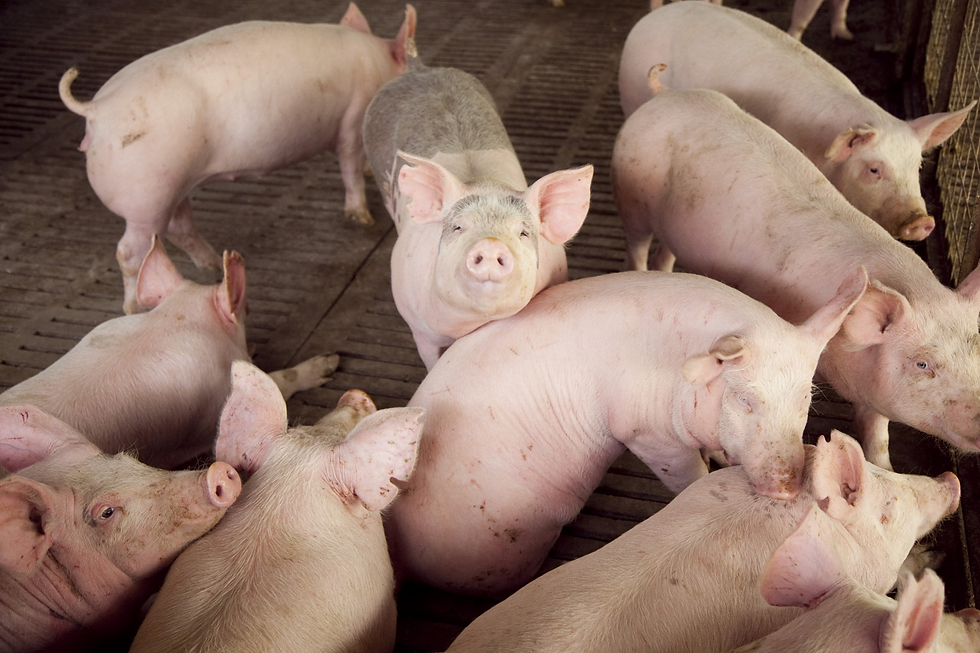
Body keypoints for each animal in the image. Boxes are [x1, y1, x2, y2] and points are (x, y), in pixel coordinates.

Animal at [0, 235, 336, 470]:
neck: (171, 321)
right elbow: (278, 380)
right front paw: (329, 363)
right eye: (248, 309)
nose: (333, 358)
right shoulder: (218, 401)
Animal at [58, 3, 417, 314]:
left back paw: (214, 265)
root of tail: (97, 110)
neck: (378, 65)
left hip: (170, 187)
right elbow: (349, 167)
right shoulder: (352, 123)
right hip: (145, 197)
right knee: (128, 252)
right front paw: (363, 218)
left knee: (178, 227)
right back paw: (134, 308)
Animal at [384, 269, 866, 596]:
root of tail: (397, 552)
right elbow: (687, 475)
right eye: (746, 400)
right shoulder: (647, 435)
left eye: (806, 400)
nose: (787, 487)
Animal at [613, 67, 980, 470]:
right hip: (631, 197)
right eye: (923, 364)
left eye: (979, 350)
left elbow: (876, 430)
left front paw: (884, 468)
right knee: (636, 244)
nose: (922, 223)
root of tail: (663, 95)